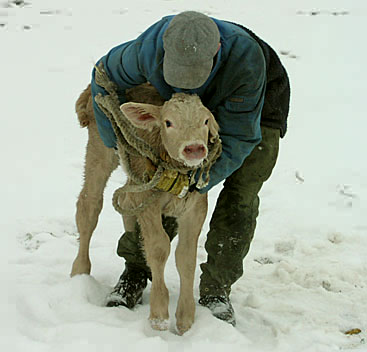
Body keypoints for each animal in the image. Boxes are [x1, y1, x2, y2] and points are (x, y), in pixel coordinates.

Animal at [71, 82, 220, 332]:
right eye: (168, 122)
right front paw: (159, 314)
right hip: (100, 147)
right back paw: (80, 273)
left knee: (125, 201)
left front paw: (185, 318)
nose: (194, 148)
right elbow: (159, 248)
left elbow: (186, 257)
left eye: (205, 121)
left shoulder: (196, 207)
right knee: (89, 205)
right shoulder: (148, 202)